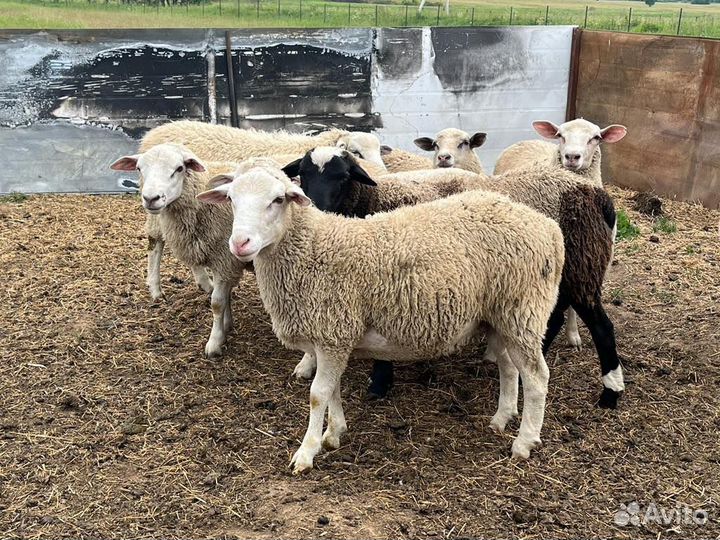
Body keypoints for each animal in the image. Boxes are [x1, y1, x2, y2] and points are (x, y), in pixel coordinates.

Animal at [110, 143, 245, 358]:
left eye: (179, 168)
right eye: (139, 168)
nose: (151, 198)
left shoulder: (225, 258)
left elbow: (218, 302)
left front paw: (215, 341)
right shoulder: (224, 259)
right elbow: (223, 298)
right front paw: (225, 328)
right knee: (155, 244)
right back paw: (157, 290)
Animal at [197, 165, 565, 473]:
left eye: (277, 200)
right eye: (231, 199)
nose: (239, 243)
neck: (312, 248)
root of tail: (548, 227)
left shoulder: (332, 332)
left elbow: (318, 394)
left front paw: (306, 451)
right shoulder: (331, 337)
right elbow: (332, 390)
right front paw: (335, 433)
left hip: (523, 309)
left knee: (536, 378)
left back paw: (524, 442)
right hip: (500, 315)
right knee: (508, 366)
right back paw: (501, 418)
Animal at [284, 151, 624, 409]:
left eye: (343, 177)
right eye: (302, 174)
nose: (315, 207)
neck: (374, 199)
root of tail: (599, 196)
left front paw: (379, 382)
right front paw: (308, 364)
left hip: (580, 268)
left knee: (601, 327)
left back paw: (610, 393)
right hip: (548, 276)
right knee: (552, 319)